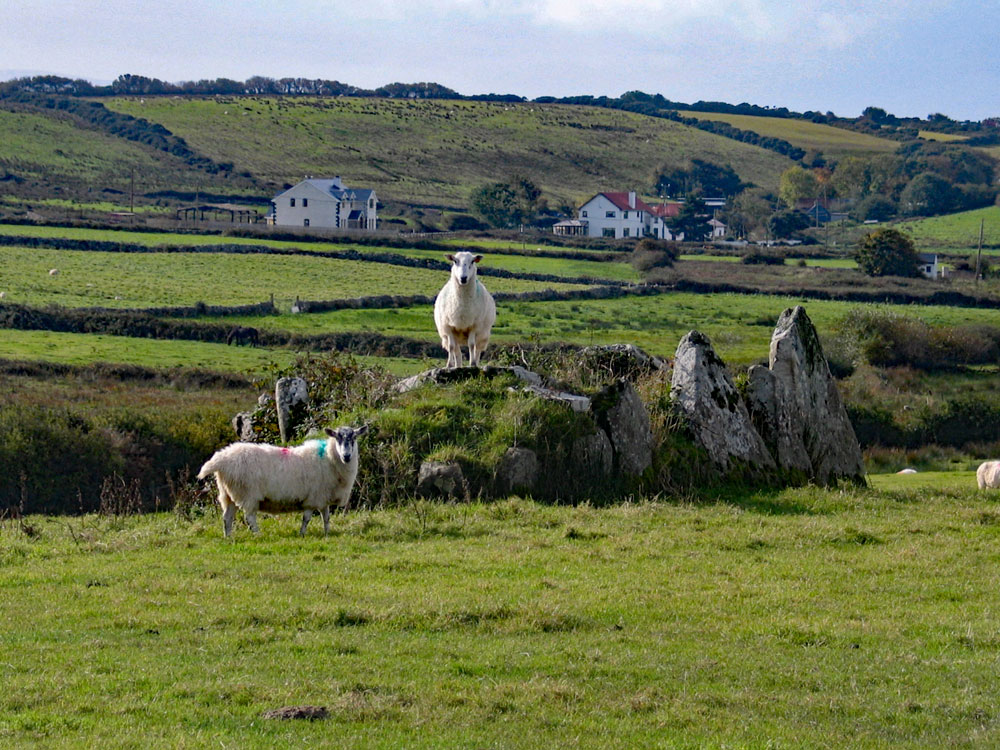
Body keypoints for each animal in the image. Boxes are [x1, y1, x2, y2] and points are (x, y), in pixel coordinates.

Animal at [195, 426, 368, 536]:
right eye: (337, 439)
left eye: (354, 438)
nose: (347, 456)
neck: (330, 459)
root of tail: (221, 458)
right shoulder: (312, 498)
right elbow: (306, 519)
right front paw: (302, 534)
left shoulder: (322, 498)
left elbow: (326, 517)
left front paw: (327, 533)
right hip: (247, 493)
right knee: (249, 517)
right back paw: (258, 535)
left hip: (228, 493)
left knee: (227, 518)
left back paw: (228, 537)